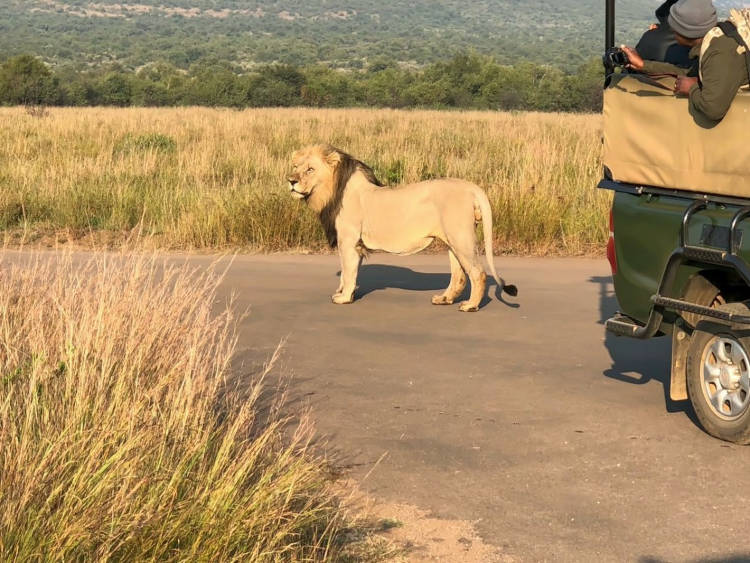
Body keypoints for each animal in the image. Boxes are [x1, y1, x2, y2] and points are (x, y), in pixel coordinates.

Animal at [288, 145, 516, 312]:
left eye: (310, 169)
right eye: (296, 167)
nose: (290, 181)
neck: (331, 191)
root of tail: (472, 187)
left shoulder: (348, 241)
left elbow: (348, 271)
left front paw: (343, 298)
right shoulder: (355, 245)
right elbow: (349, 272)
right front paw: (344, 293)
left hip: (461, 237)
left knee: (478, 272)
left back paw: (470, 306)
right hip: (453, 240)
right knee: (459, 275)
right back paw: (444, 299)